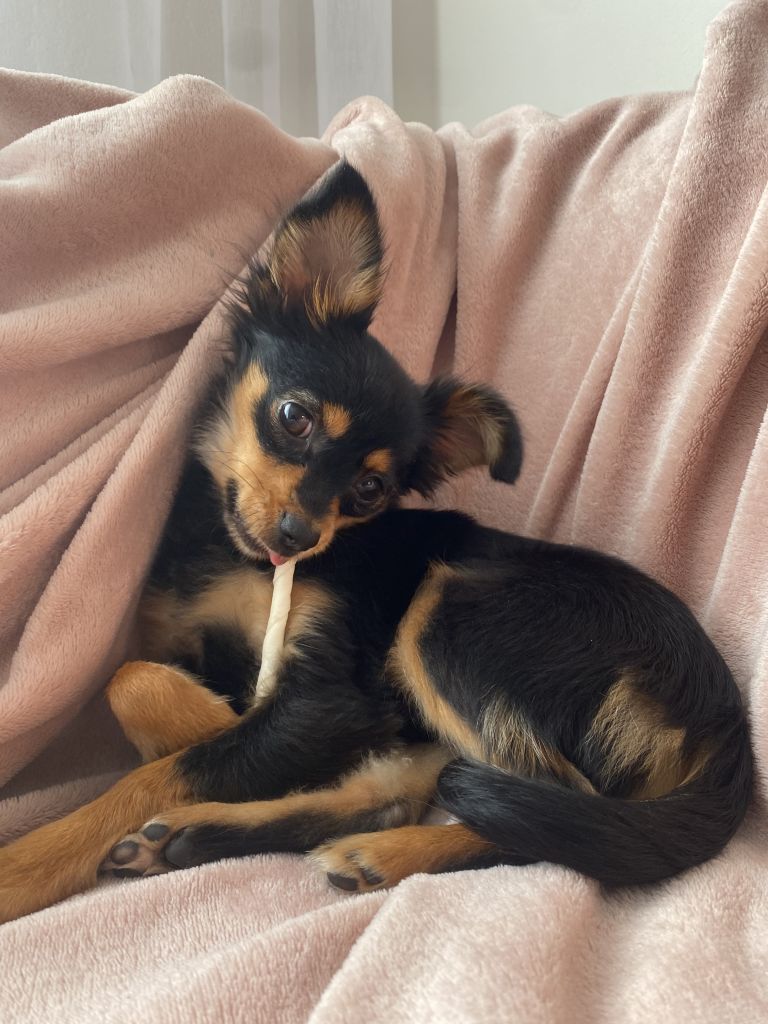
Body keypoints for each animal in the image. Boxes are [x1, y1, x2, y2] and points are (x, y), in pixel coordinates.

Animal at [0, 160, 752, 923]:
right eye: (294, 418)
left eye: (370, 491)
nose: (300, 537)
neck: (234, 557)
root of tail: (727, 725)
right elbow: (130, 677)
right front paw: (206, 714)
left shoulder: (336, 700)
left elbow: (156, 769)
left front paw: (29, 863)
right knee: (400, 797)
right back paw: (203, 839)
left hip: (452, 616)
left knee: (544, 818)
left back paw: (376, 854)